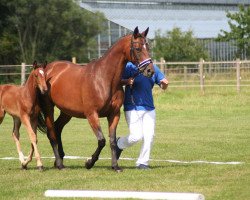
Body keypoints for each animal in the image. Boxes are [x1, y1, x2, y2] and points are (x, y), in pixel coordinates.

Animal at [38, 26, 154, 172]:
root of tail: (47, 69)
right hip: (48, 108)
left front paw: (115, 166)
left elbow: (112, 140)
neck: (104, 78)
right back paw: (59, 164)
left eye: (148, 47)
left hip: (67, 112)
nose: (150, 71)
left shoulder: (114, 114)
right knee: (51, 133)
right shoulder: (92, 114)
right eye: (138, 48)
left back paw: (60, 159)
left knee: (58, 128)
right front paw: (89, 162)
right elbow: (101, 140)